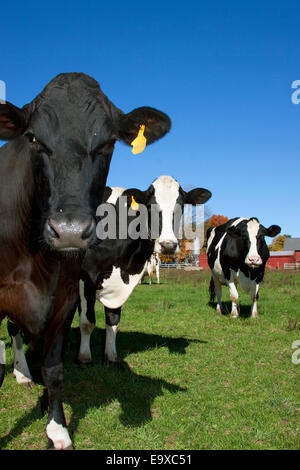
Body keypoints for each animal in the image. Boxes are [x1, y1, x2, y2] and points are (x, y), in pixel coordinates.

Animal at [0, 71, 171, 450]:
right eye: (33, 138)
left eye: (107, 144)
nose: (69, 231)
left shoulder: (64, 297)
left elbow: (55, 367)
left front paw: (58, 428)